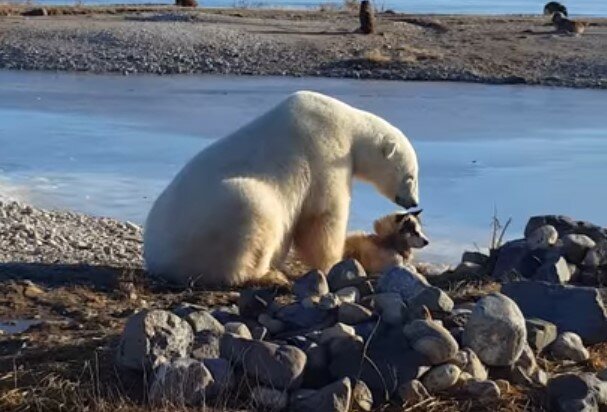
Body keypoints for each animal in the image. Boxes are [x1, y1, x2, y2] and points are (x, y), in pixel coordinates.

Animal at [144, 90, 418, 286]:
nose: (413, 202)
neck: (347, 123)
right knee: (253, 209)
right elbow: (322, 216)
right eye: (411, 176)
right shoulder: (325, 153)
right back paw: (265, 275)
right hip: (213, 222)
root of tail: (157, 260)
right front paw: (334, 261)